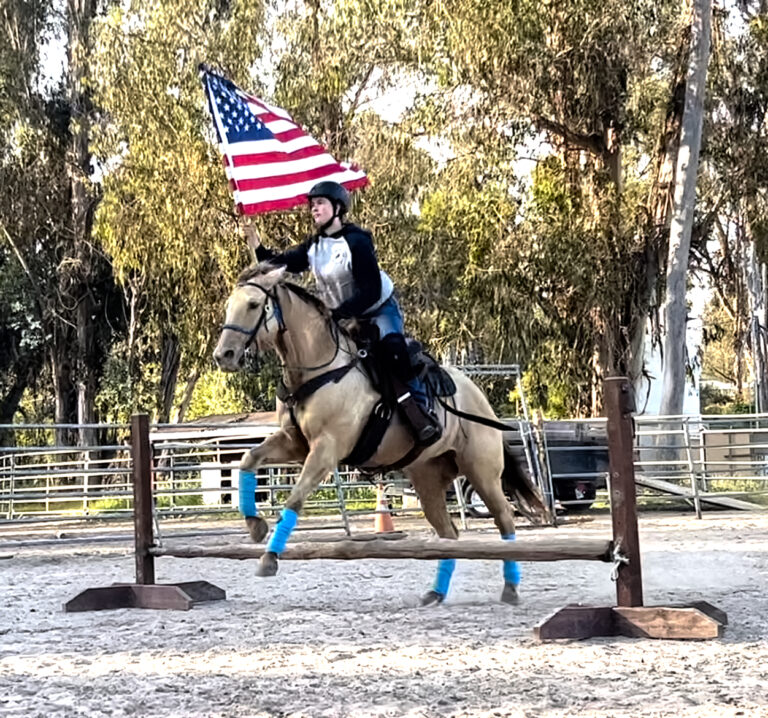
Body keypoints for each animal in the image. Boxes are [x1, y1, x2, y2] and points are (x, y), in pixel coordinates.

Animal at [213, 262, 544, 604]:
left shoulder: (326, 450)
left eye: (254, 305)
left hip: (482, 473)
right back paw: (435, 593)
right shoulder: (296, 444)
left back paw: (510, 588)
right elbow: (249, 460)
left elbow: (293, 501)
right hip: (427, 479)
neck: (320, 369)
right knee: (448, 532)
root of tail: (480, 399)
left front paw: (269, 558)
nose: (224, 355)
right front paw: (255, 525)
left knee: (504, 519)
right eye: (229, 305)